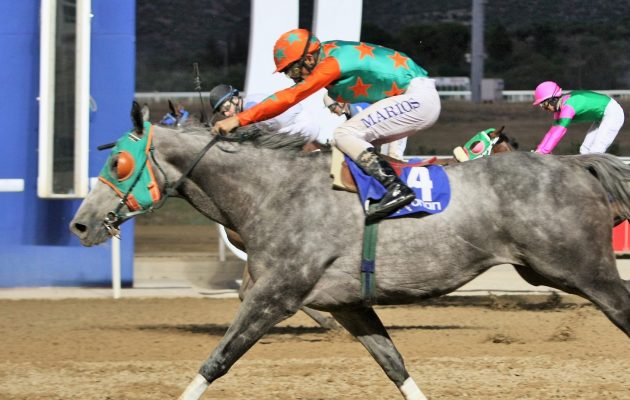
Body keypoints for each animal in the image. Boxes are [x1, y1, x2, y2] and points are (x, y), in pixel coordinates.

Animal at [70, 104, 630, 400]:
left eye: (119, 163)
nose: (80, 223)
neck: (273, 192)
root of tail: (577, 165)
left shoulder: (274, 296)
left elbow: (218, 359)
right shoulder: (348, 304)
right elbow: (394, 365)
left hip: (585, 270)